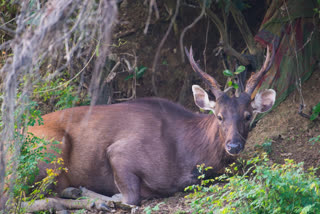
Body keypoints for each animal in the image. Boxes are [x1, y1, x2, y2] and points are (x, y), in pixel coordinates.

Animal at [0, 46, 276, 208]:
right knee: (16, 199)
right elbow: (130, 199)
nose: (234, 145)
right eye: (219, 116)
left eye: (248, 115)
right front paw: (100, 196)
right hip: (49, 148)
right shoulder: (121, 151)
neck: (187, 156)